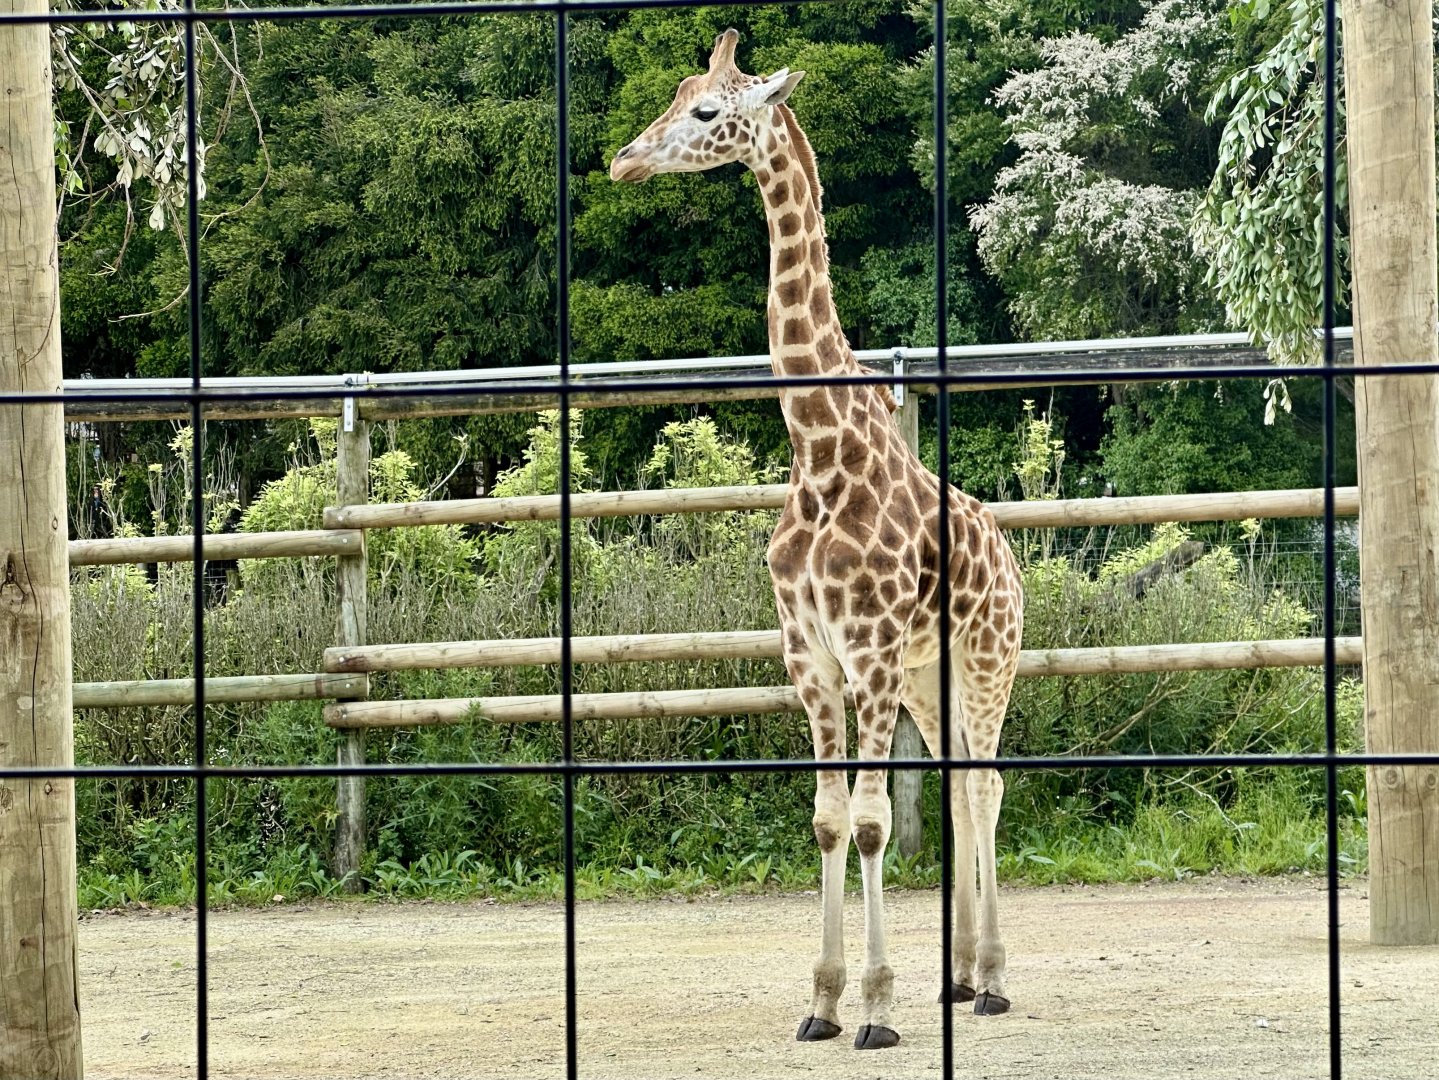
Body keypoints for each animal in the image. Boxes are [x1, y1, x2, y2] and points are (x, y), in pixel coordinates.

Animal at [610, 30, 1024, 1050]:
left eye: (708, 111)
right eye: (677, 94)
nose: (624, 159)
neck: (819, 450)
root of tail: (1009, 555)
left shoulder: (866, 651)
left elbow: (872, 823)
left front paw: (876, 1005)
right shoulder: (810, 655)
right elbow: (830, 821)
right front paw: (825, 1000)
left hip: (986, 659)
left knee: (986, 787)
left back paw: (994, 980)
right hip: (928, 679)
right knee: (956, 787)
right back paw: (959, 975)